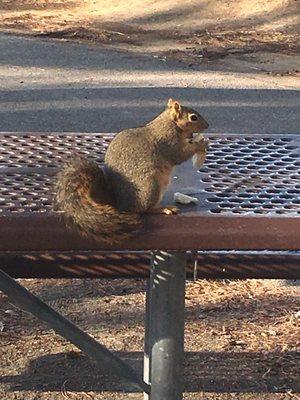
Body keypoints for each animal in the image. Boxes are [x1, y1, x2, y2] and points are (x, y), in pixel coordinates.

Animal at [54, 99, 209, 244]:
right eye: (193, 117)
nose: (207, 125)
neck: (169, 124)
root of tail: (119, 202)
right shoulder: (169, 142)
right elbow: (180, 154)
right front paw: (201, 143)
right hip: (151, 186)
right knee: (144, 210)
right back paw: (163, 209)